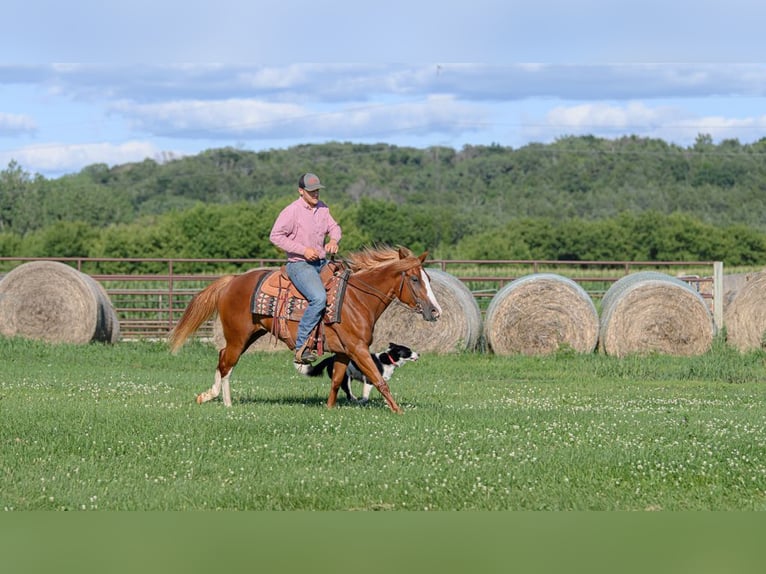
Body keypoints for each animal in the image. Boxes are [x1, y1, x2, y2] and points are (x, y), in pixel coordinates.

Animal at [168, 246, 442, 413]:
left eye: (428, 279)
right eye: (414, 279)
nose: (436, 311)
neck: (357, 299)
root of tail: (232, 281)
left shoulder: (343, 351)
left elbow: (336, 381)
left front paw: (329, 408)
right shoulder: (358, 348)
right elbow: (378, 380)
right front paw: (398, 410)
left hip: (249, 335)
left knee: (223, 357)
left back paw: (215, 398)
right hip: (238, 336)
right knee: (226, 363)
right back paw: (222, 401)